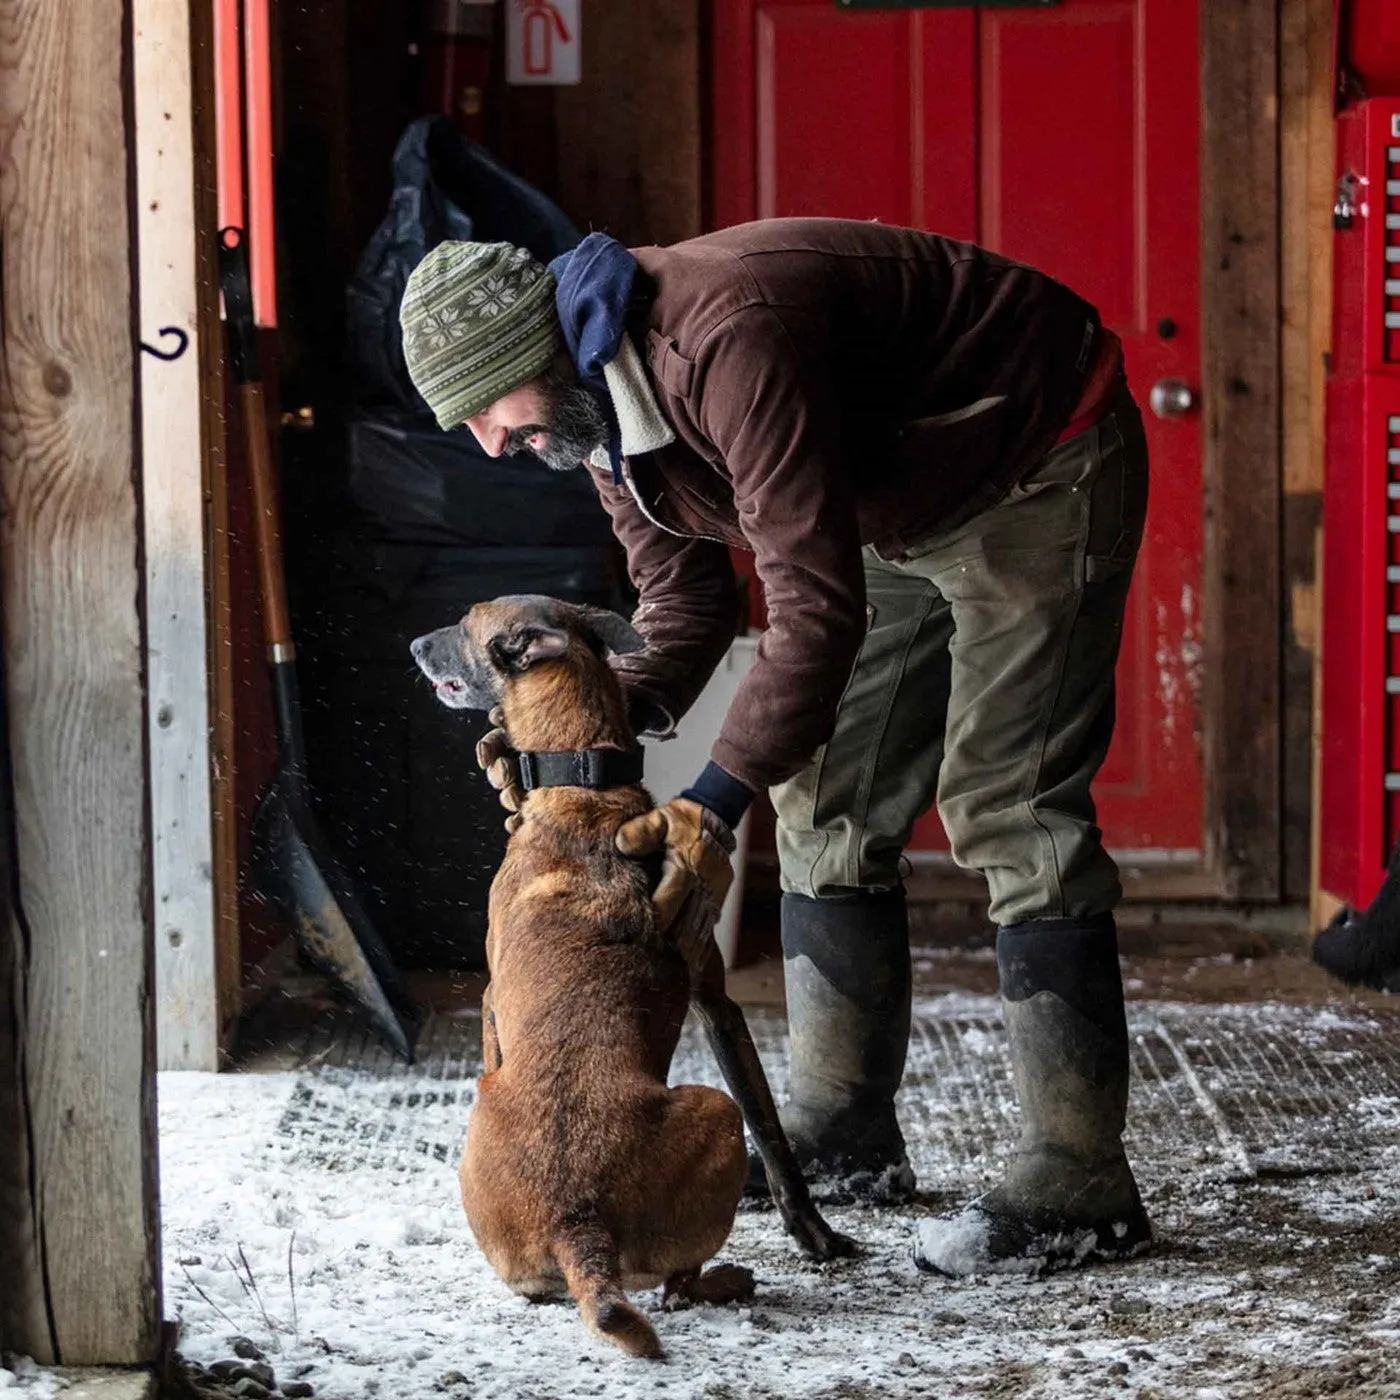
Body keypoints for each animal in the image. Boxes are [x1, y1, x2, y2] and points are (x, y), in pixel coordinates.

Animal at [408, 599, 851, 1355]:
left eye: (467, 623)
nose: (412, 644)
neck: (585, 786)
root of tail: (575, 1221)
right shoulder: (715, 999)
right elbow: (774, 1130)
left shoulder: (507, 999)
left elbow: (770, 1128)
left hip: (712, 1109)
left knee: (676, 1288)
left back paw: (727, 1280)